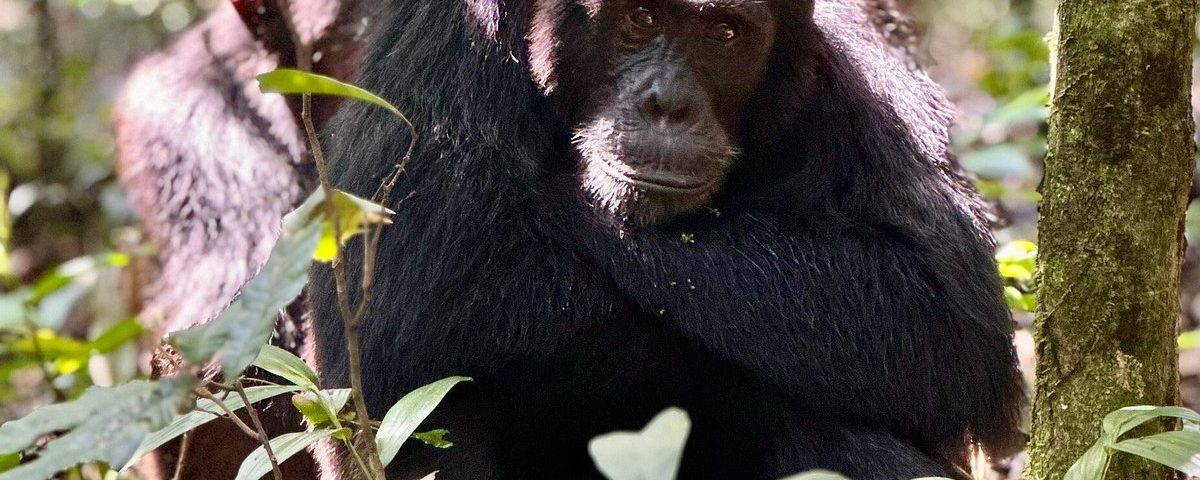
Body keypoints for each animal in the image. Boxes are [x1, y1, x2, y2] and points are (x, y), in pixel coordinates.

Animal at [307, 0, 1022, 480]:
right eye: (643, 17)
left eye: (725, 33)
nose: (668, 103)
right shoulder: (445, 41)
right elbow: (410, 297)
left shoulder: (863, 87)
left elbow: (938, 313)